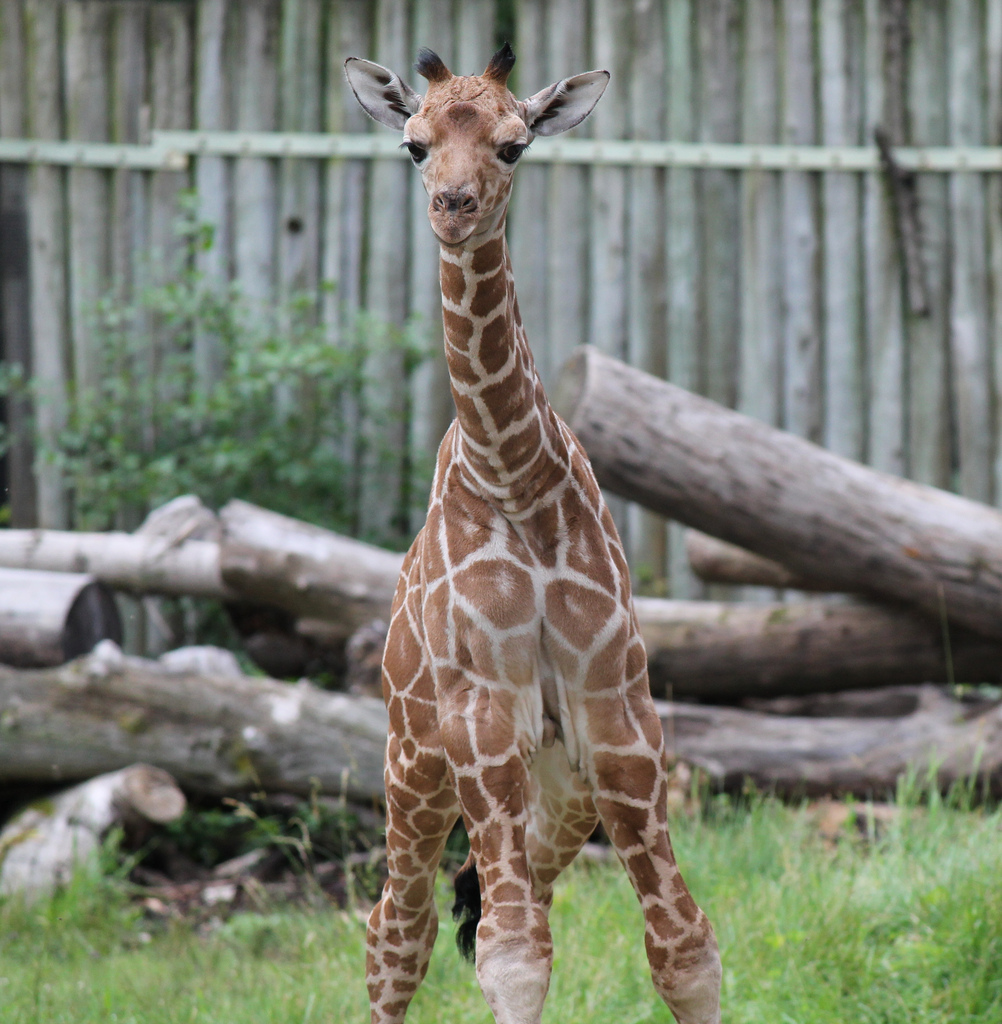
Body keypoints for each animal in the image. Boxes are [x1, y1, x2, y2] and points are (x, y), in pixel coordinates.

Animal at [344, 44, 722, 1024]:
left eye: (514, 146)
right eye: (413, 143)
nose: (453, 206)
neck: (512, 473)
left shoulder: (618, 718)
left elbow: (683, 947)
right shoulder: (481, 720)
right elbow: (512, 960)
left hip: (560, 789)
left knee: (503, 906)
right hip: (415, 767)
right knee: (397, 930)